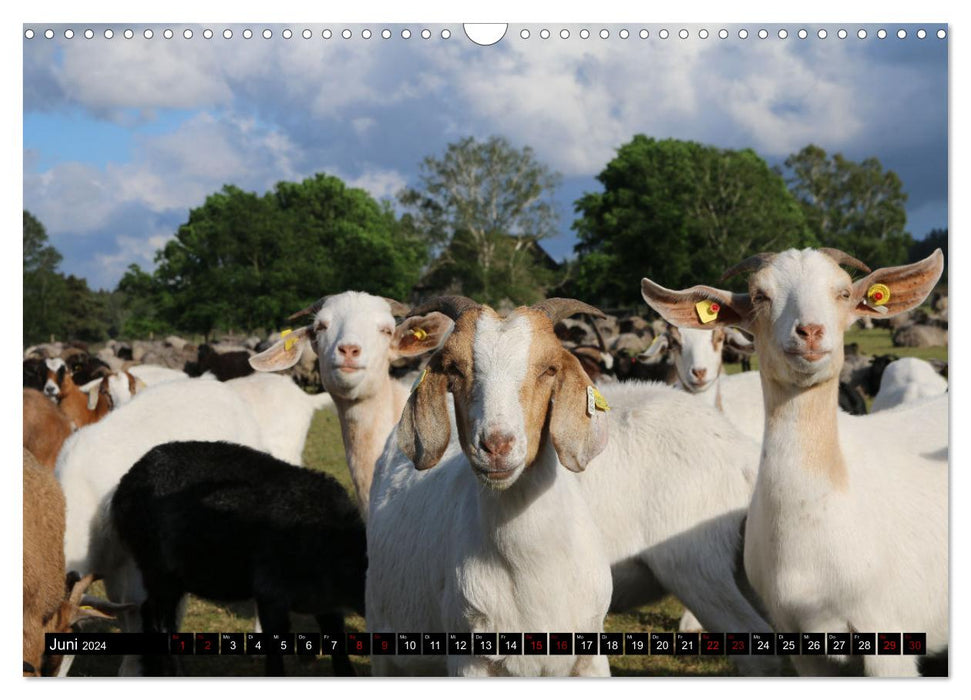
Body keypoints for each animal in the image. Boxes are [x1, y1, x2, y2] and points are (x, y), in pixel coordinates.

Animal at [111, 440, 368, 676]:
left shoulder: (326, 602)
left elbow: (336, 640)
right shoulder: (270, 592)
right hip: (157, 567)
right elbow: (275, 651)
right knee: (161, 621)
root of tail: (129, 478)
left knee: (150, 612)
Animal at [364, 296, 616, 680]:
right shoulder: (469, 661)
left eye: (550, 369)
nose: (496, 445)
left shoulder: (591, 655)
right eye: (453, 368)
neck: (534, 569)